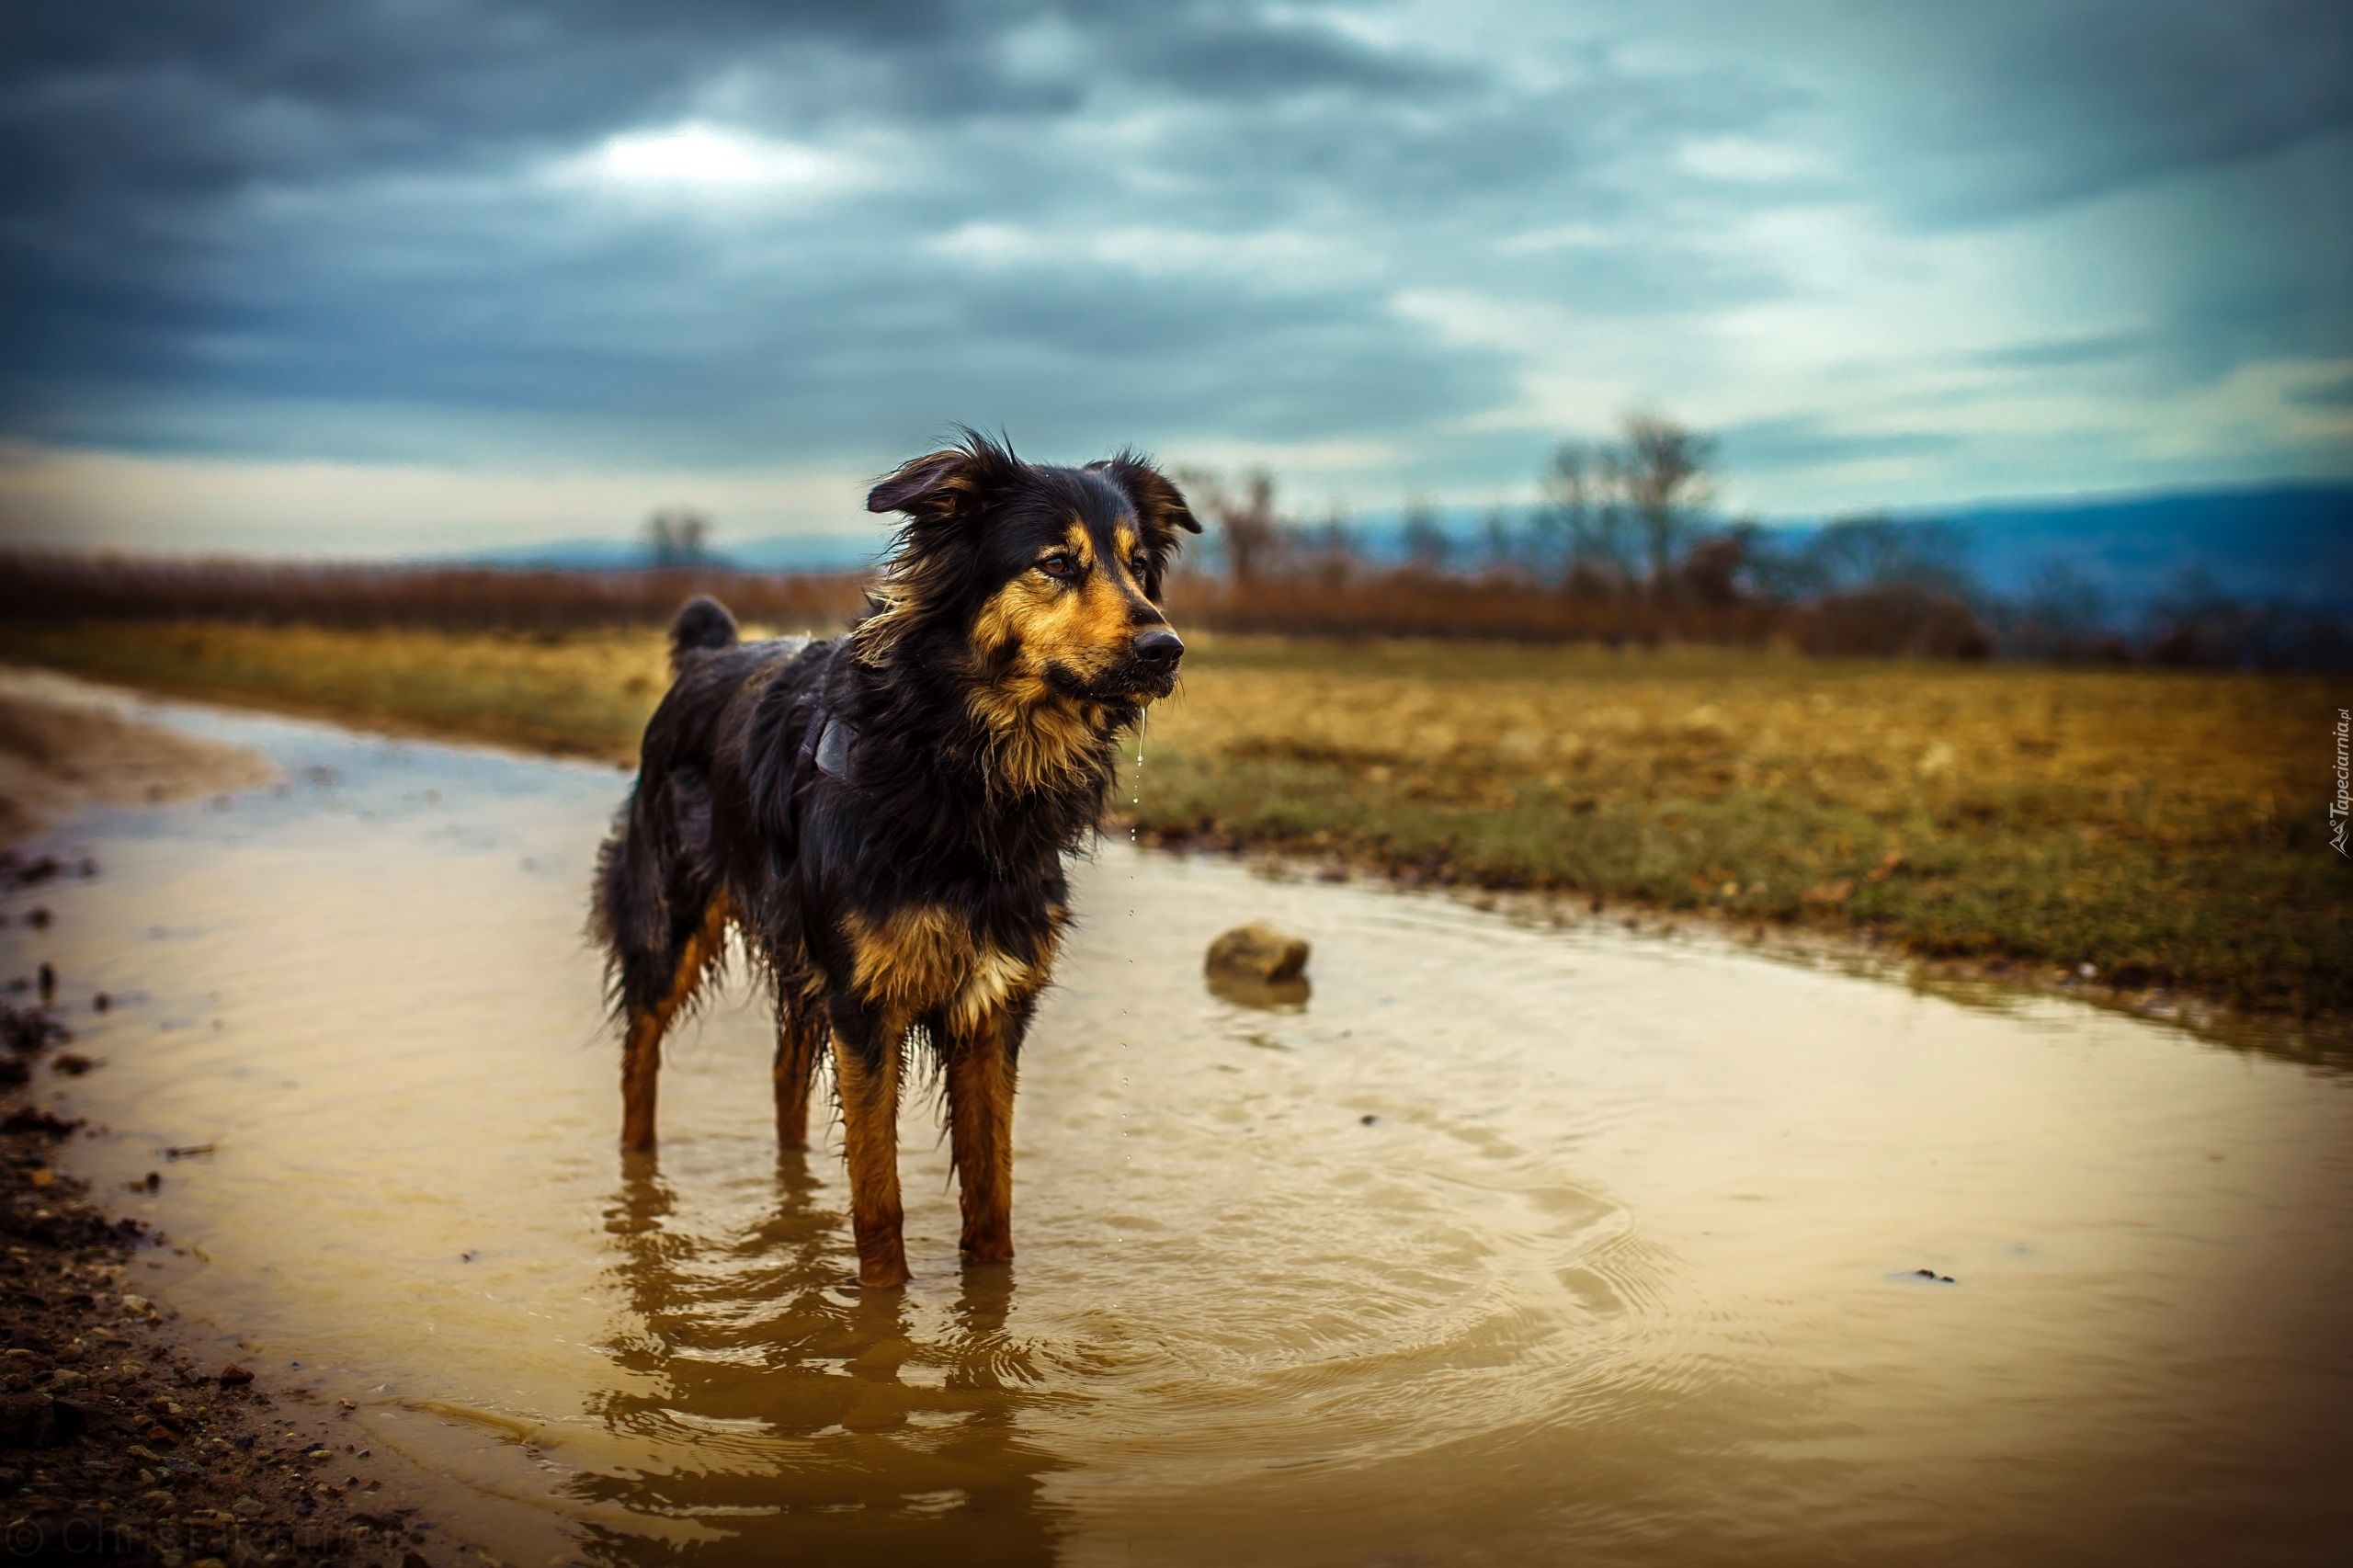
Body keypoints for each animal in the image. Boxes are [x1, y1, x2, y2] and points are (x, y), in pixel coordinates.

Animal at [588, 430, 1195, 1280]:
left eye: (1139, 567)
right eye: (1056, 563)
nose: (1166, 648)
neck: (962, 770)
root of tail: (711, 655)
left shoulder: (991, 1006)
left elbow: (992, 1199)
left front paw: (990, 1301)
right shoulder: (867, 1005)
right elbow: (879, 1205)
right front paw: (882, 1310)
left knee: (784, 1075)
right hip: (670, 922)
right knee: (638, 1062)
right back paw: (639, 1196)